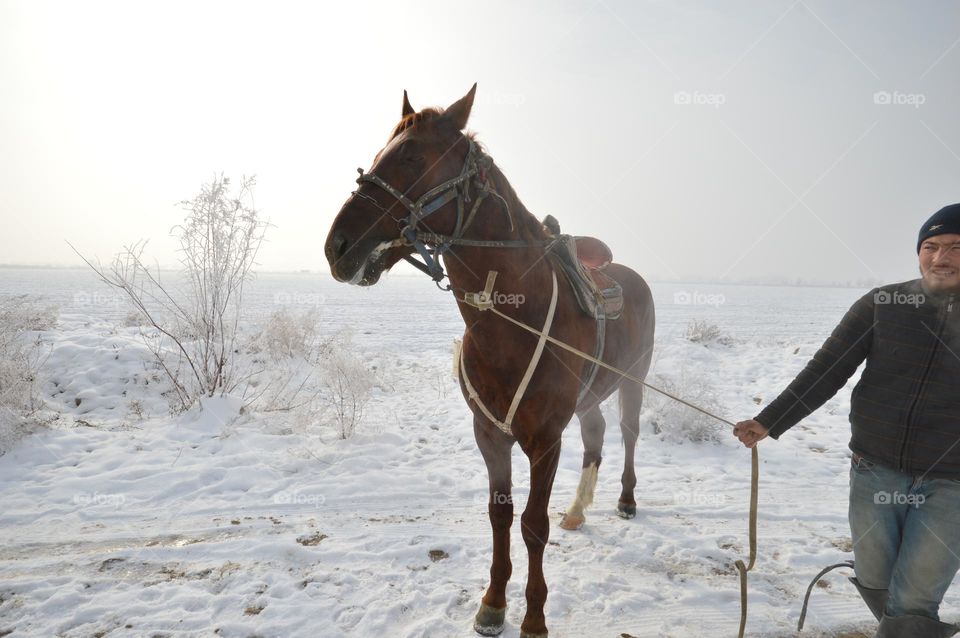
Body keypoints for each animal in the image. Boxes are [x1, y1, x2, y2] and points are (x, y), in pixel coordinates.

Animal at [324, 84, 655, 638]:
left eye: (411, 157)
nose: (338, 246)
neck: (510, 321)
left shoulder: (545, 440)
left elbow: (533, 525)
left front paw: (534, 617)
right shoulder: (490, 435)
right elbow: (500, 516)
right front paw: (494, 603)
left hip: (634, 379)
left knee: (628, 433)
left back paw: (625, 500)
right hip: (589, 396)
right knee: (597, 435)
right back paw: (578, 509)